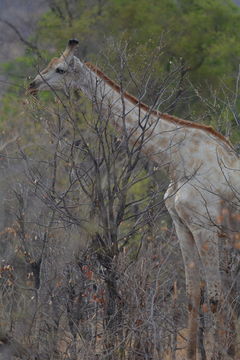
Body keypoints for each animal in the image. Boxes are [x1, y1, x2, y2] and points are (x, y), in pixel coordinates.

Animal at [28, 38, 240, 358]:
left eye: (60, 69)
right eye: (50, 63)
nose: (32, 84)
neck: (176, 160)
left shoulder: (205, 226)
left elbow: (214, 298)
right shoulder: (183, 226)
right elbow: (193, 296)